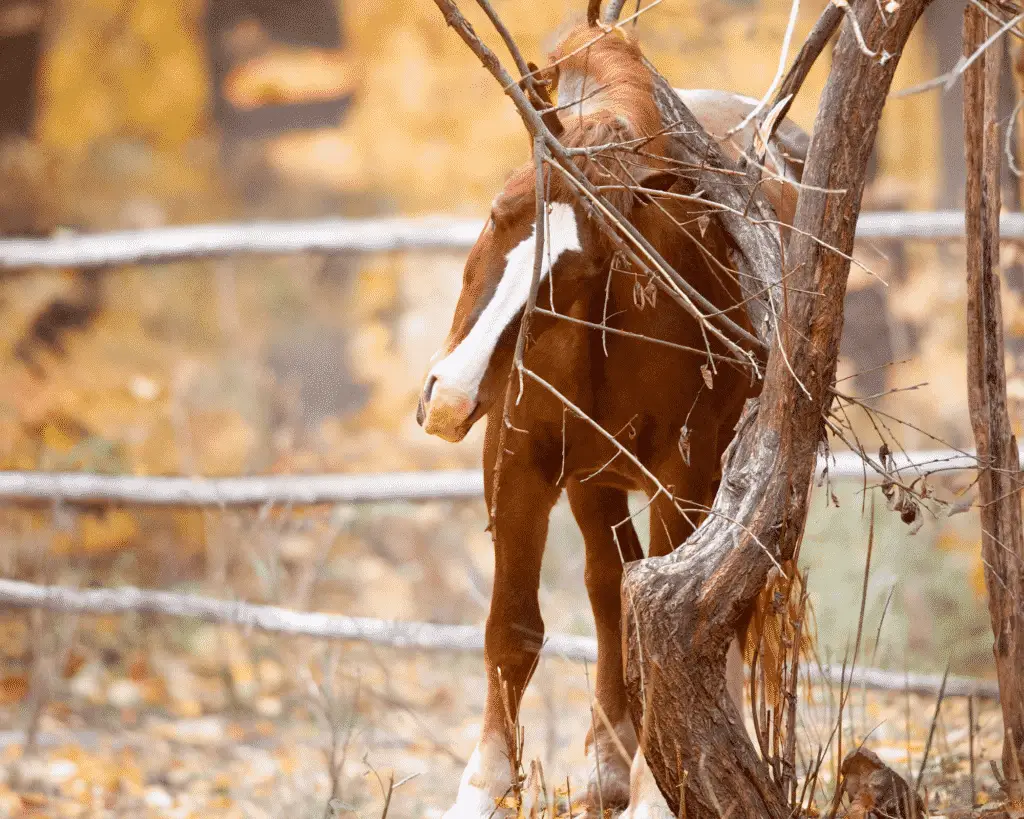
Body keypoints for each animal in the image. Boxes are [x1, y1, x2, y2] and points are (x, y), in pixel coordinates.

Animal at [415, 22, 806, 814]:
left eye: (576, 269)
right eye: (499, 212)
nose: (449, 397)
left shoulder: (686, 481)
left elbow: (674, 631)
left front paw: (661, 793)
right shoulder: (518, 460)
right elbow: (514, 628)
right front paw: (484, 785)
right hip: (595, 480)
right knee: (607, 587)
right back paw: (604, 765)